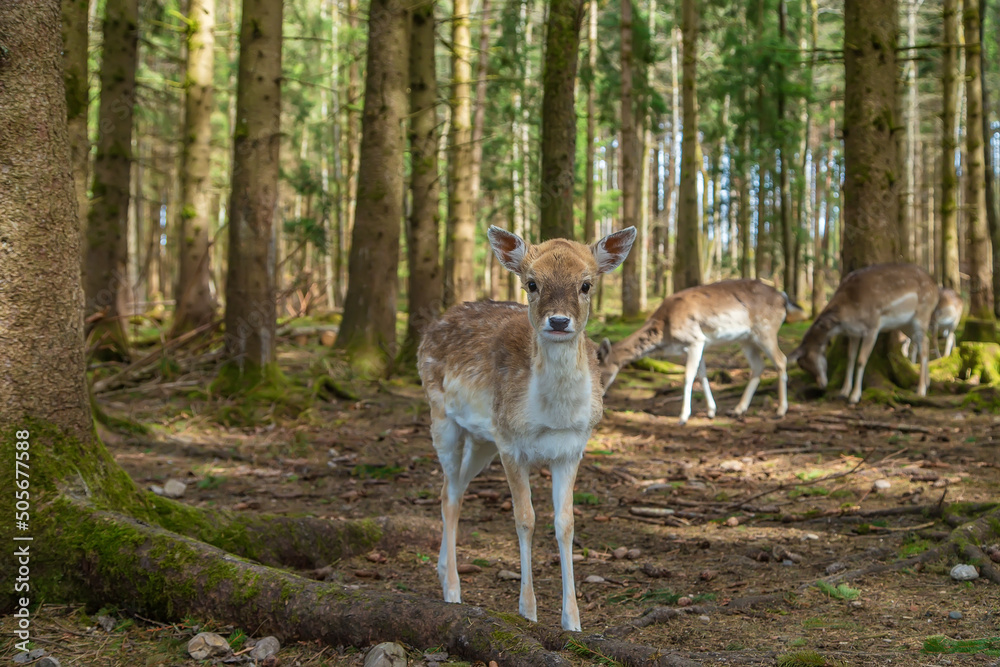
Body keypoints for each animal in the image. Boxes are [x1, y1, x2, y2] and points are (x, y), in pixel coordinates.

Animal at [417, 225, 636, 632]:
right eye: (532, 283)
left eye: (586, 284)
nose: (559, 321)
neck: (552, 417)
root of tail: (431, 327)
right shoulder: (510, 444)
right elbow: (525, 519)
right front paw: (528, 612)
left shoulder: (572, 447)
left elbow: (565, 523)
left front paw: (573, 621)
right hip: (443, 418)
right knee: (449, 494)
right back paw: (453, 591)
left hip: (482, 441)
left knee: (452, 488)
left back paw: (442, 574)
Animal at [596, 280, 805, 425]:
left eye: (601, 371)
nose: (600, 395)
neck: (665, 331)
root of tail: (784, 297)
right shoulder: (701, 343)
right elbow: (702, 374)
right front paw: (711, 411)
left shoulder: (695, 339)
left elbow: (688, 376)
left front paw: (683, 417)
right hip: (746, 339)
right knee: (758, 366)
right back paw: (738, 409)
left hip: (766, 329)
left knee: (781, 360)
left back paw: (780, 410)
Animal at [787, 263, 938, 404]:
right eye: (803, 365)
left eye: (808, 362)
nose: (822, 385)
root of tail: (935, 286)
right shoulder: (853, 333)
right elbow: (850, 358)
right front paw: (844, 391)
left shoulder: (872, 327)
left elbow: (861, 360)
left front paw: (854, 396)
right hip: (905, 324)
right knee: (924, 342)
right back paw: (927, 382)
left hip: (922, 315)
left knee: (923, 346)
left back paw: (921, 390)